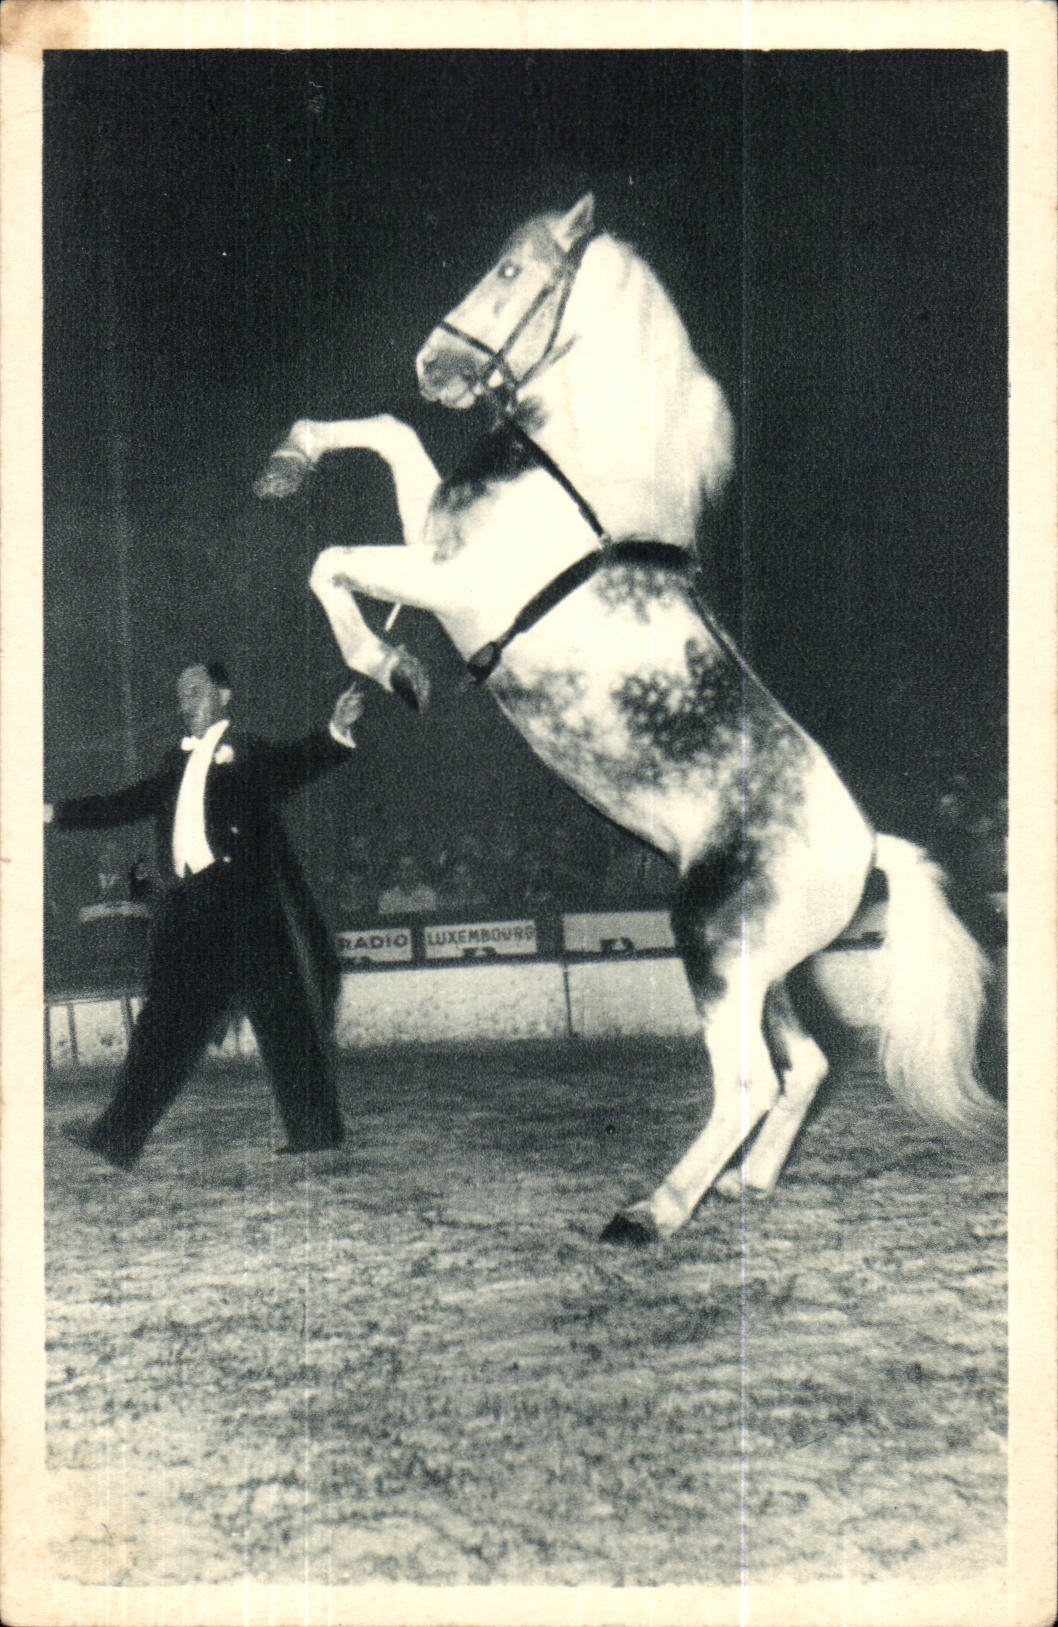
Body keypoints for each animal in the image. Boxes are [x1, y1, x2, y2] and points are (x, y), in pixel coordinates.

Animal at [255, 194, 1002, 1242]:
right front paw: (292, 457)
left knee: (746, 1082)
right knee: (803, 1065)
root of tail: (866, 850)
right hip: (759, 966)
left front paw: (391, 668)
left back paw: (651, 1212)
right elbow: (392, 437)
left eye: (515, 272)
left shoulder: (449, 583)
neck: (575, 477)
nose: (434, 365)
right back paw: (744, 1183)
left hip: (711, 945)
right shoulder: (429, 536)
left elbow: (332, 563)